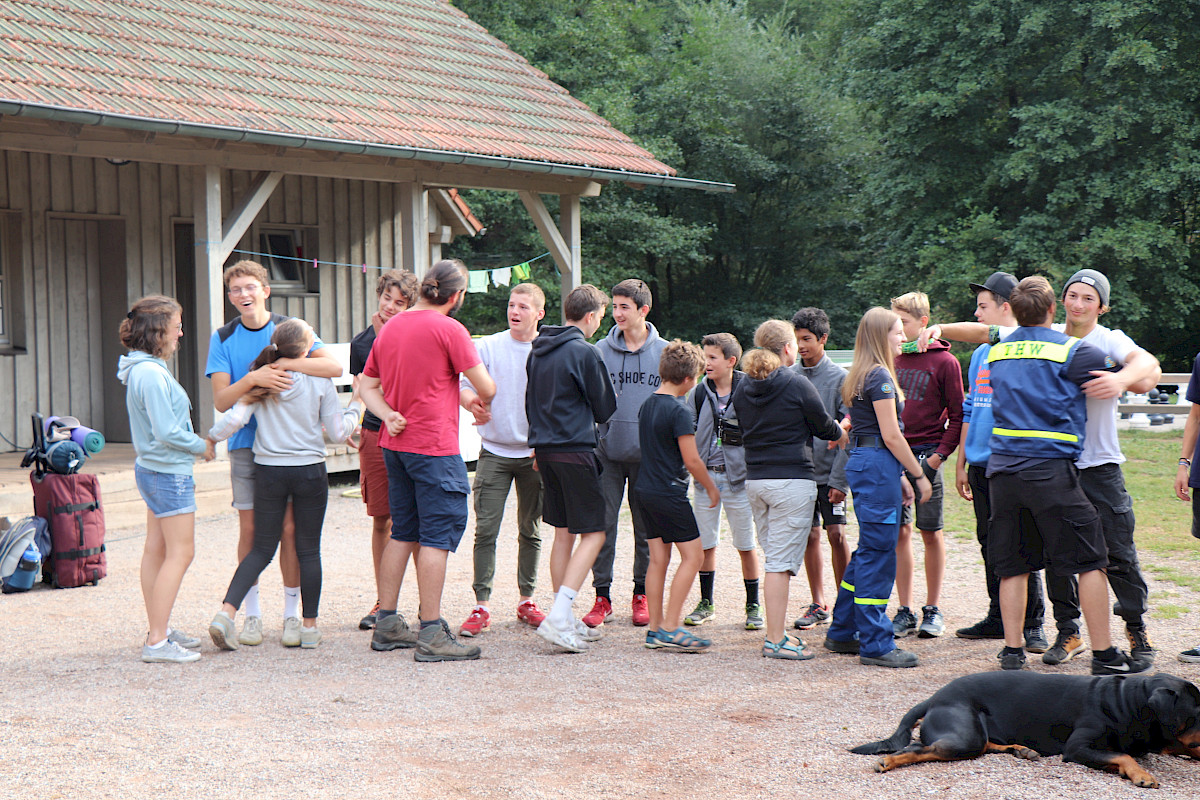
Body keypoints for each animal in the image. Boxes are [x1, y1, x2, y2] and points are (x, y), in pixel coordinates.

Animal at [854, 671, 1200, 786]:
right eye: (1195, 712)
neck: (1127, 703)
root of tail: (933, 698)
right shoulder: (1078, 747)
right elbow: (1123, 756)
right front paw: (1143, 775)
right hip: (964, 735)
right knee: (918, 747)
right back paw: (888, 762)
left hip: (975, 733)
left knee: (986, 744)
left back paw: (1021, 749)